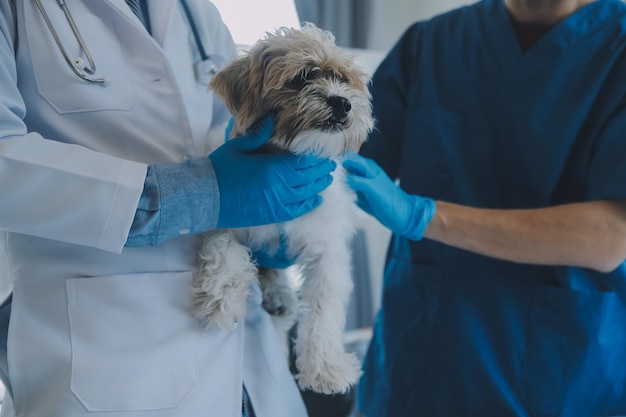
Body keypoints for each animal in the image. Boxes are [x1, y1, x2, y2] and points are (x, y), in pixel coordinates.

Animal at [190, 22, 372, 394]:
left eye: (345, 80)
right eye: (303, 76)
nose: (343, 103)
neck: (286, 158)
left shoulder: (327, 248)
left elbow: (323, 307)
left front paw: (326, 369)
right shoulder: (227, 209)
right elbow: (222, 248)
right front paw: (221, 301)